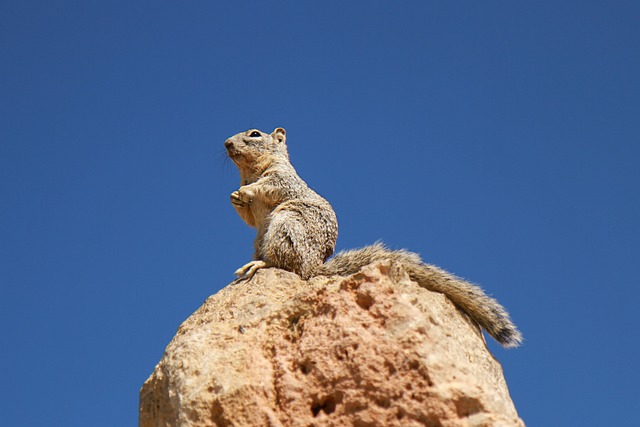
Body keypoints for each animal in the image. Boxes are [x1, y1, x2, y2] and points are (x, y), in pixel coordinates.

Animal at [222, 127, 524, 348]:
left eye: (255, 134)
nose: (226, 142)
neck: (250, 172)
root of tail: (313, 267)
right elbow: (248, 217)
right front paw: (235, 196)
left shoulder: (284, 180)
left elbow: (270, 186)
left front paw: (246, 191)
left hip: (287, 225)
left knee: (284, 263)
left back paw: (260, 264)